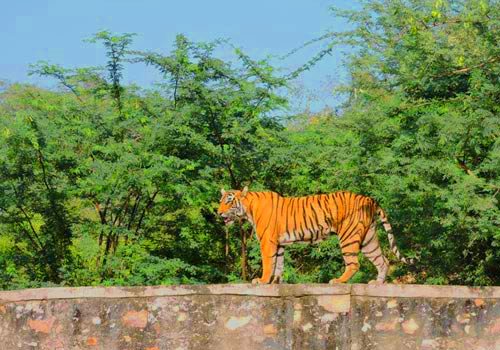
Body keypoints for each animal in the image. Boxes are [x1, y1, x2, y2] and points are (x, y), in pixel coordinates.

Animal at [217, 186, 412, 284]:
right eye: (221, 201)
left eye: (229, 202)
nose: (218, 213)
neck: (248, 209)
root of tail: (369, 199)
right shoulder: (279, 244)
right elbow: (278, 264)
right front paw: (275, 282)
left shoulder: (267, 241)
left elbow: (268, 263)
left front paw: (263, 281)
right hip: (368, 239)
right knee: (383, 260)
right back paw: (378, 283)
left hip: (348, 236)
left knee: (354, 263)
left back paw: (338, 281)